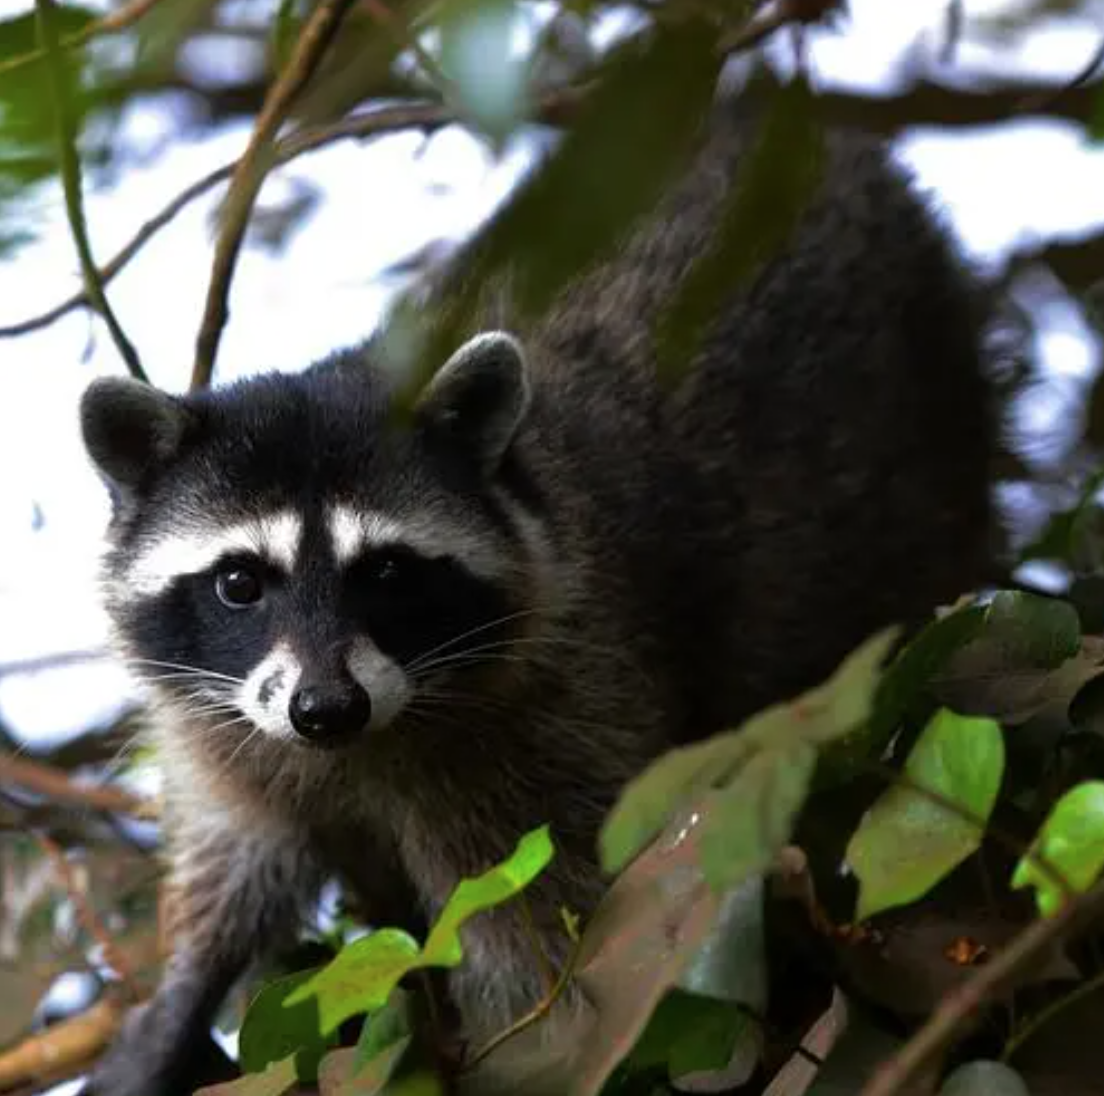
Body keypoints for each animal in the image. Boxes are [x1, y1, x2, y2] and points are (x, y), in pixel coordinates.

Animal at [75, 102, 993, 1094]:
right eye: (241, 582)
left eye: (386, 573)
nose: (326, 707)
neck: (361, 748)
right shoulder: (231, 734)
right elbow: (230, 866)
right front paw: (182, 992)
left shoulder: (561, 720)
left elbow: (544, 944)